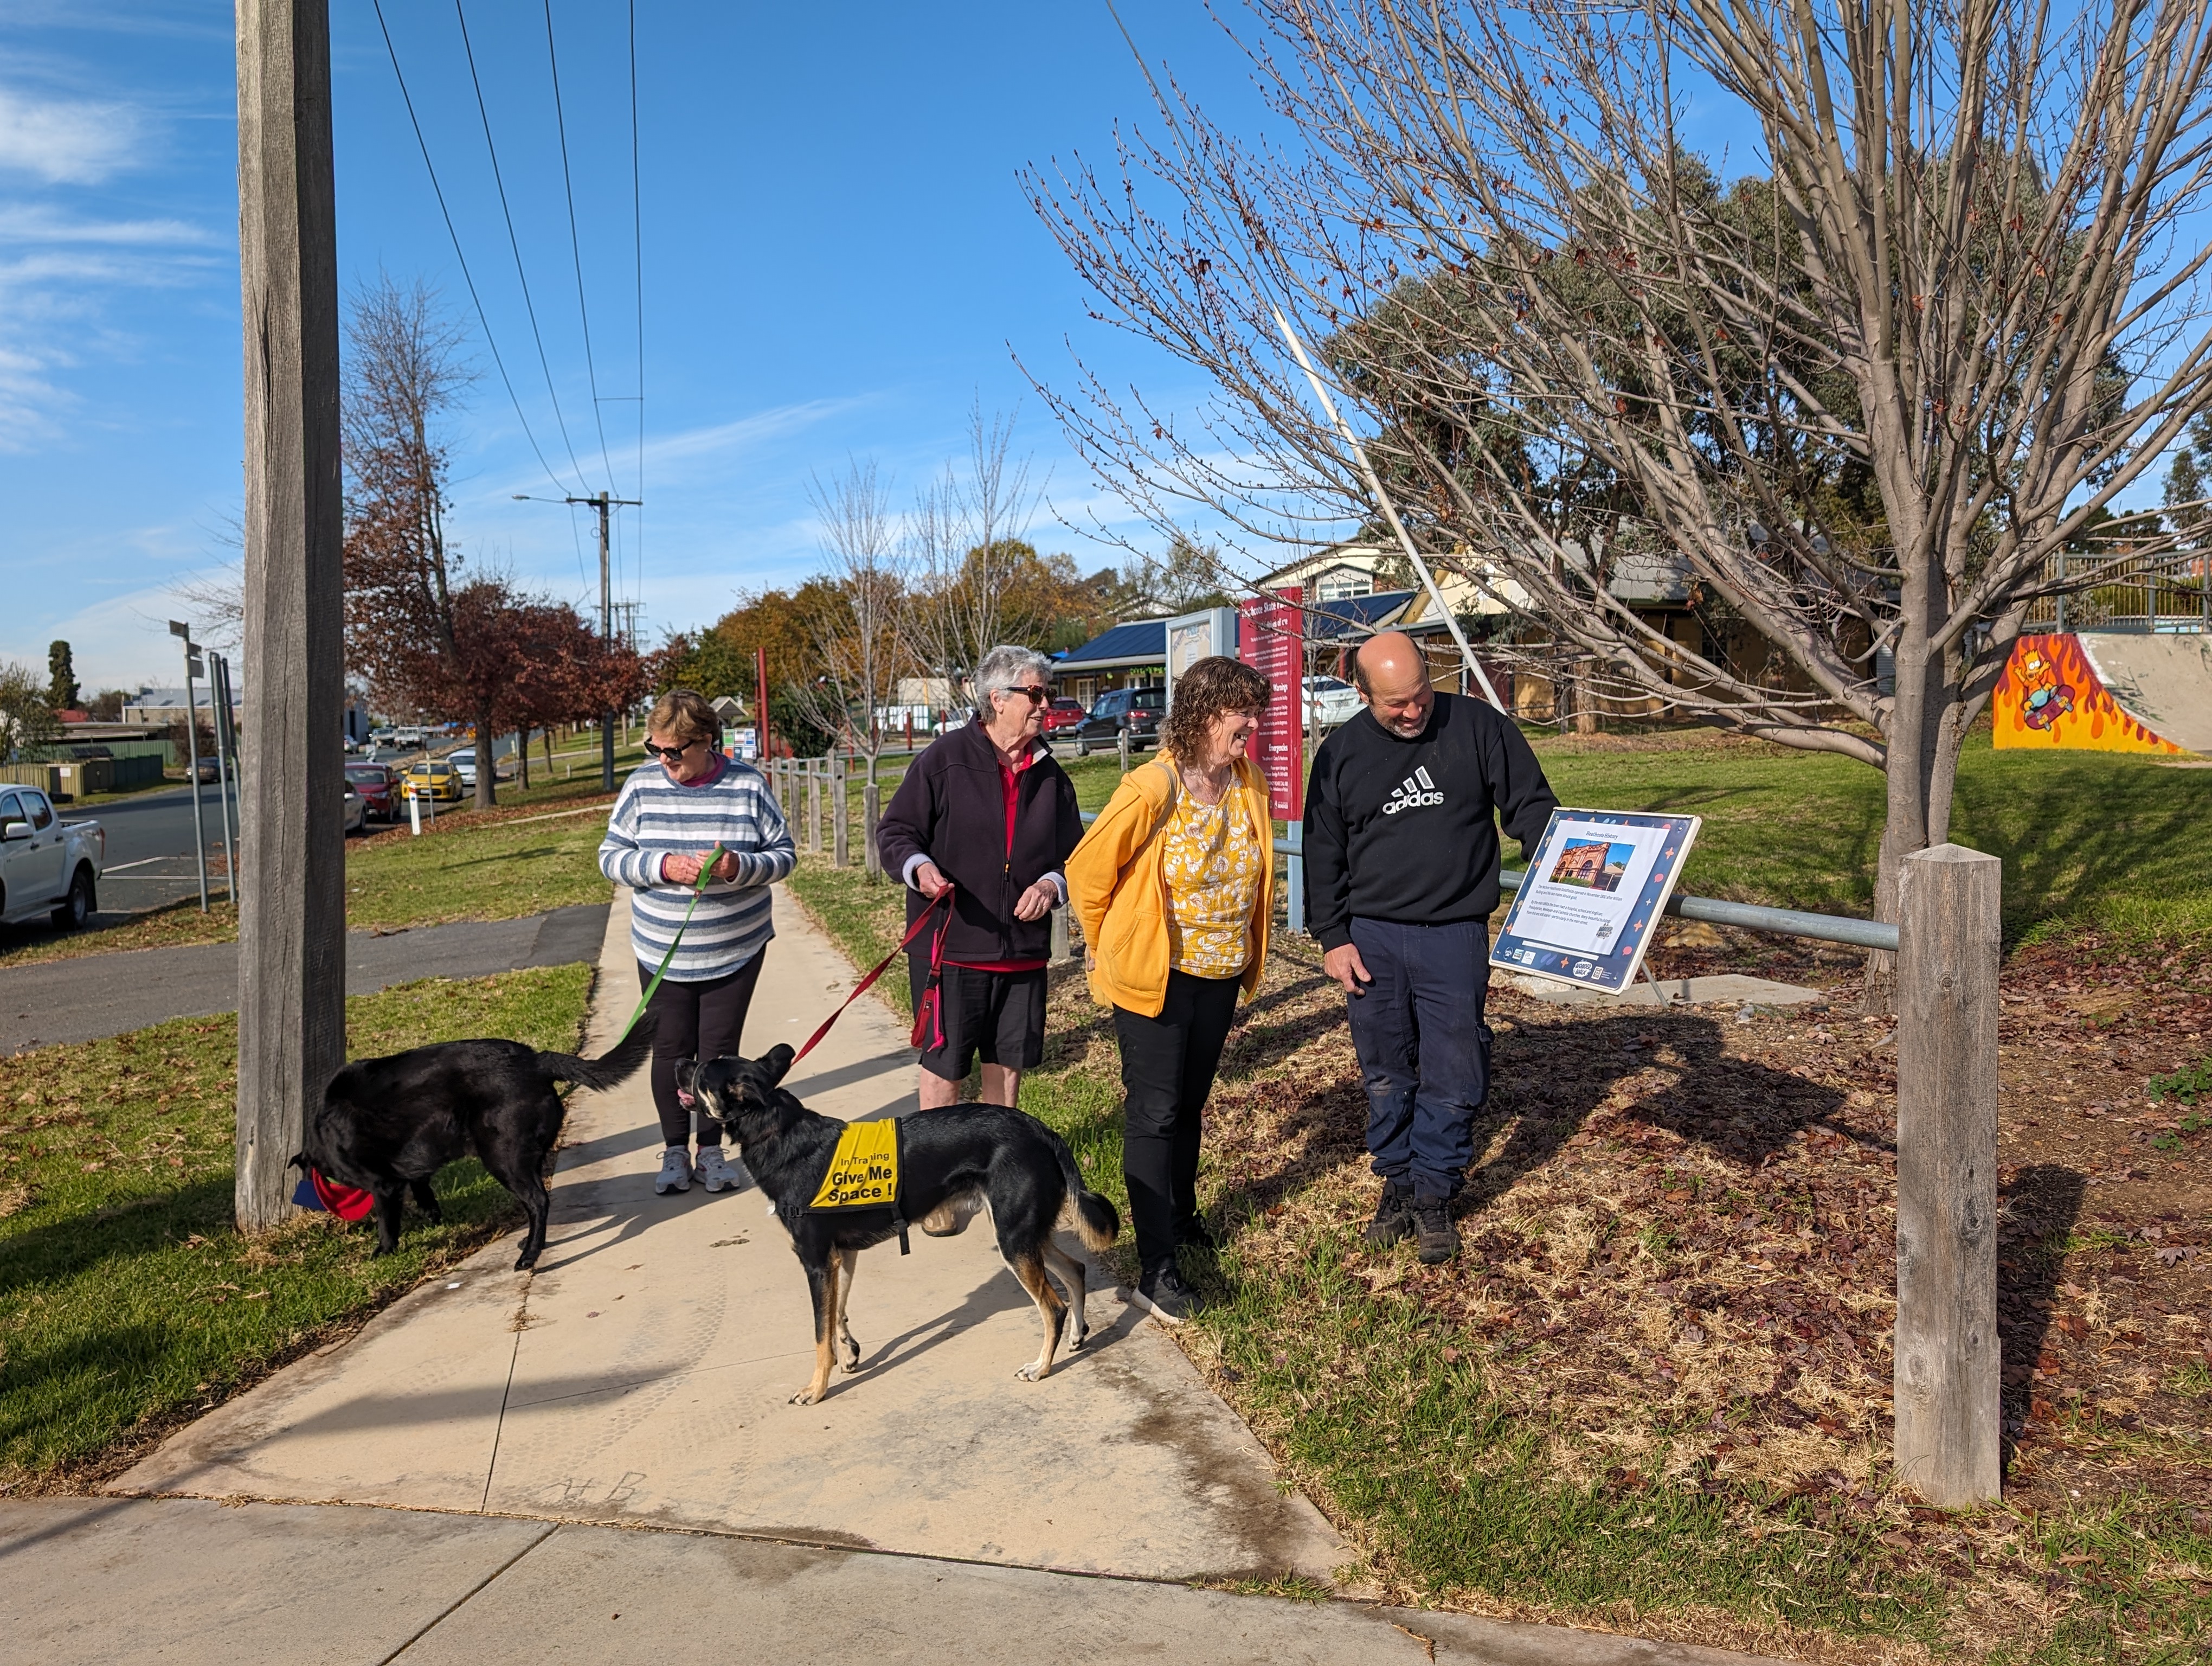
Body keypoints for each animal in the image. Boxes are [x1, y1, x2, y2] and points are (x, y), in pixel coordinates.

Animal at [298, 1022, 650, 1265]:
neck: (321, 1135)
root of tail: (537, 1062)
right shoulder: (416, 1167)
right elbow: (423, 1189)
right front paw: (432, 1217)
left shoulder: (383, 1185)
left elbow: (387, 1223)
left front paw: (384, 1251)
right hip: (524, 1157)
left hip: (503, 1158)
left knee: (539, 1201)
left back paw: (529, 1257)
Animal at [677, 1044, 1123, 1398]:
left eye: (701, 1073)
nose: (679, 1060)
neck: (776, 1129)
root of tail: (1041, 1129)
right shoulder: (840, 1257)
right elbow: (836, 1313)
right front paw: (848, 1353)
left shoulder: (816, 1262)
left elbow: (820, 1335)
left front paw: (816, 1388)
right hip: (1025, 1233)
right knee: (1076, 1270)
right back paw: (1077, 1336)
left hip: (1015, 1239)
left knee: (1053, 1307)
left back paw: (1041, 1367)